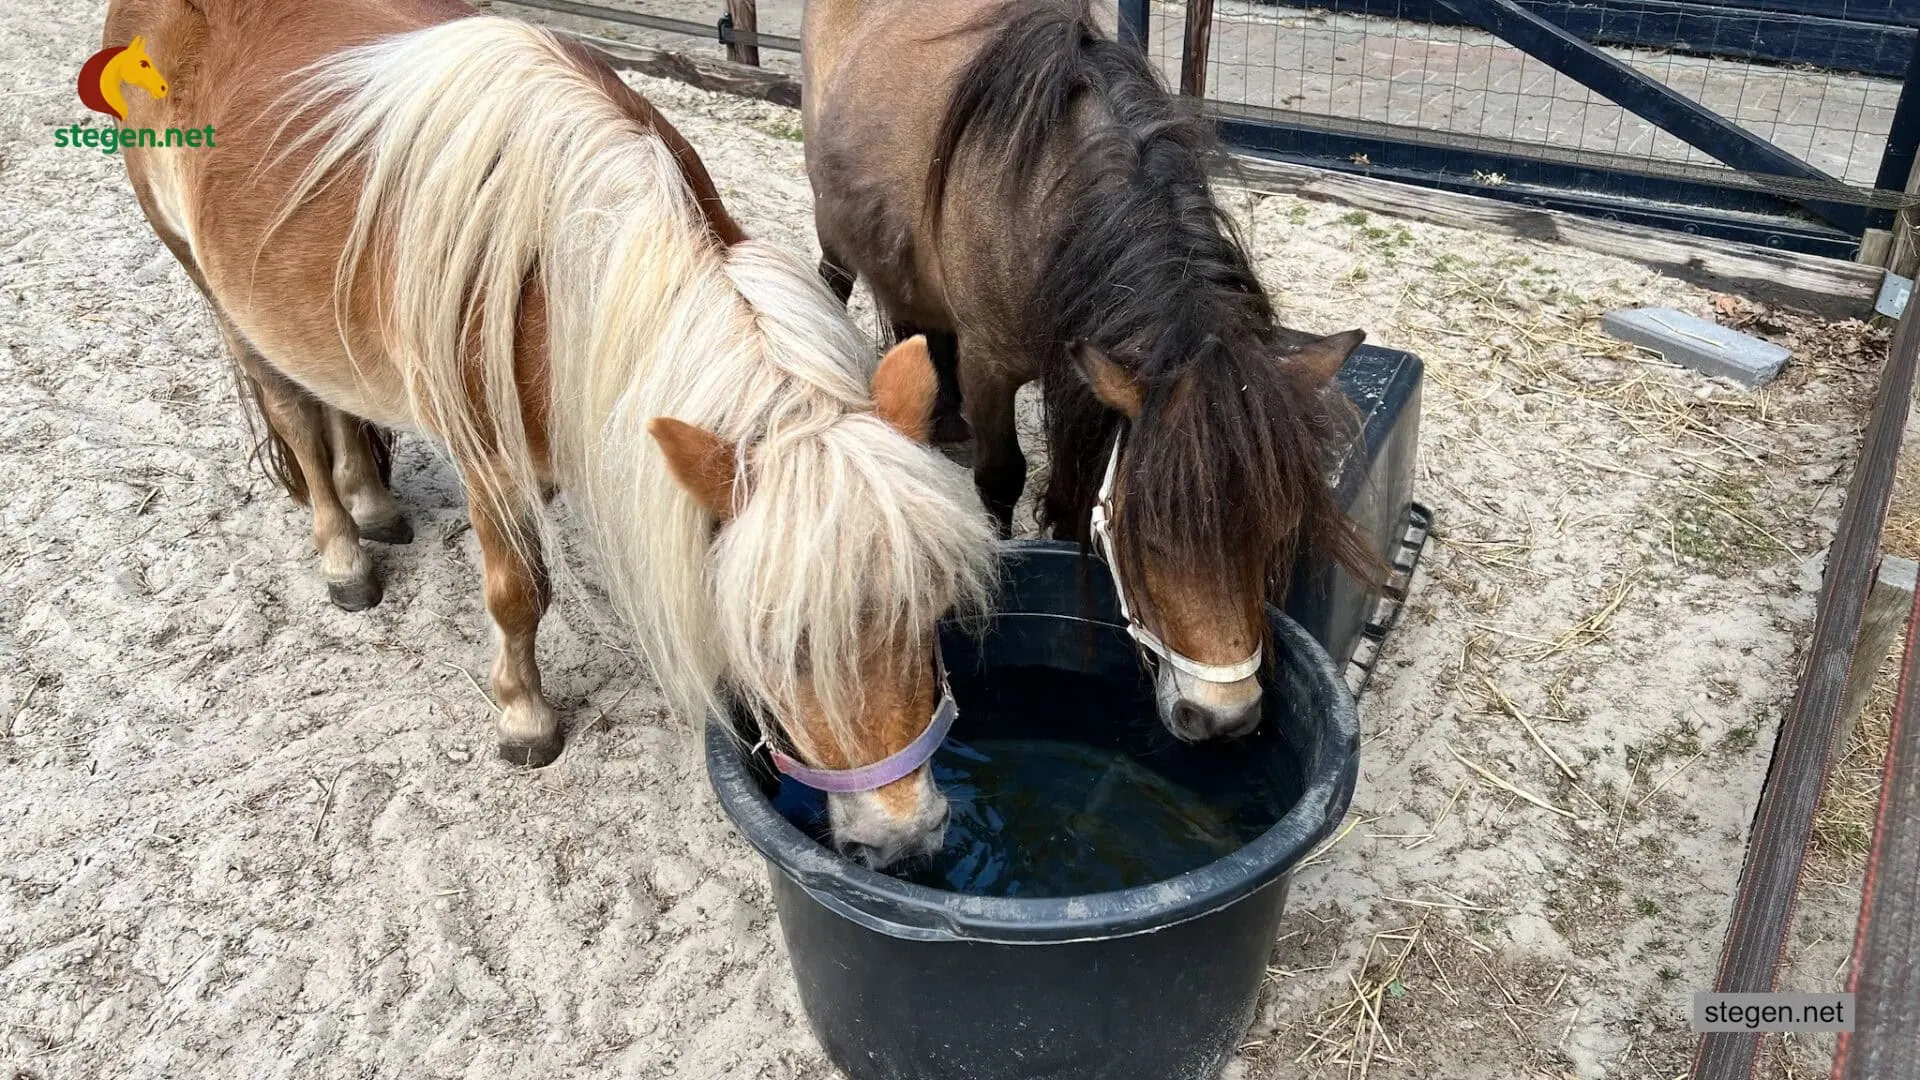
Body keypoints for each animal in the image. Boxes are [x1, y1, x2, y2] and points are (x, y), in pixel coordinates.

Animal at [103, 0, 997, 868]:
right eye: (781, 640)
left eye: (931, 609)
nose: (905, 839)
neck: (555, 276)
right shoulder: (491, 464)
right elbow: (518, 594)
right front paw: (524, 720)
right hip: (216, 293)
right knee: (296, 419)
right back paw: (344, 555)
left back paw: (375, 505)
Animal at [803, 0, 1379, 744]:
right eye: (1151, 539)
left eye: (1274, 528)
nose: (1224, 718)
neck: (1043, 195)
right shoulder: (992, 365)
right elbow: (1002, 477)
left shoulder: (1076, 364)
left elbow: (1074, 487)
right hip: (831, 224)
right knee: (835, 281)